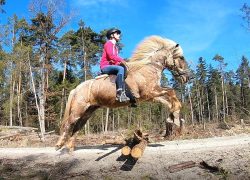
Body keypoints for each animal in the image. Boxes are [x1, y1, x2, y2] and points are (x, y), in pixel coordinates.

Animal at [55, 35, 189, 152]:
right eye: (181, 57)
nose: (187, 78)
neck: (148, 69)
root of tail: (76, 89)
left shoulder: (151, 95)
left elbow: (170, 97)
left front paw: (174, 117)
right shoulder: (150, 92)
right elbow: (171, 92)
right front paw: (175, 118)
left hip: (88, 111)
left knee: (78, 127)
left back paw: (70, 148)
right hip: (78, 110)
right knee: (68, 124)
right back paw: (59, 145)